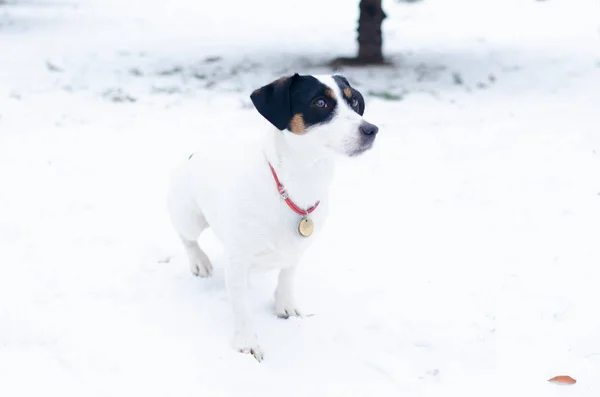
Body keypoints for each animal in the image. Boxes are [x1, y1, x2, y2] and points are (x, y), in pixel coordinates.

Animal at [166, 72, 378, 360]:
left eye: (353, 100)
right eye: (320, 102)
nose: (371, 130)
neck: (296, 184)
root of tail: (195, 154)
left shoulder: (296, 249)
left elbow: (287, 277)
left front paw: (285, 305)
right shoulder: (238, 258)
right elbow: (241, 307)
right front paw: (246, 342)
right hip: (190, 217)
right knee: (186, 237)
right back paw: (199, 261)